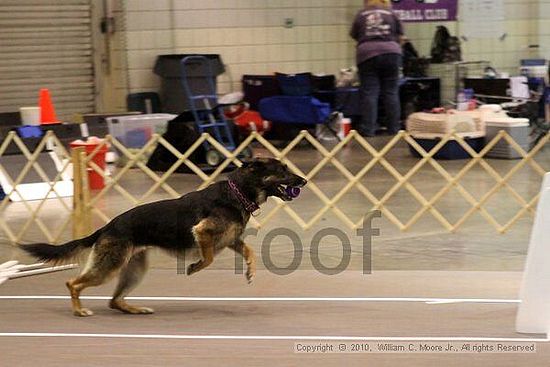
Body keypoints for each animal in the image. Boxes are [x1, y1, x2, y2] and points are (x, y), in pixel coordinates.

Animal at [20, 158, 306, 316]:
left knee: (114, 301)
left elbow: (250, 252)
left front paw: (250, 273)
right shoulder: (202, 233)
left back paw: (135, 309)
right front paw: (193, 267)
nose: (303, 180)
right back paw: (79, 310)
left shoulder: (231, 241)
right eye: (282, 170)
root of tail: (108, 226)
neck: (237, 192)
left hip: (134, 270)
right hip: (109, 268)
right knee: (73, 284)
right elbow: (208, 259)